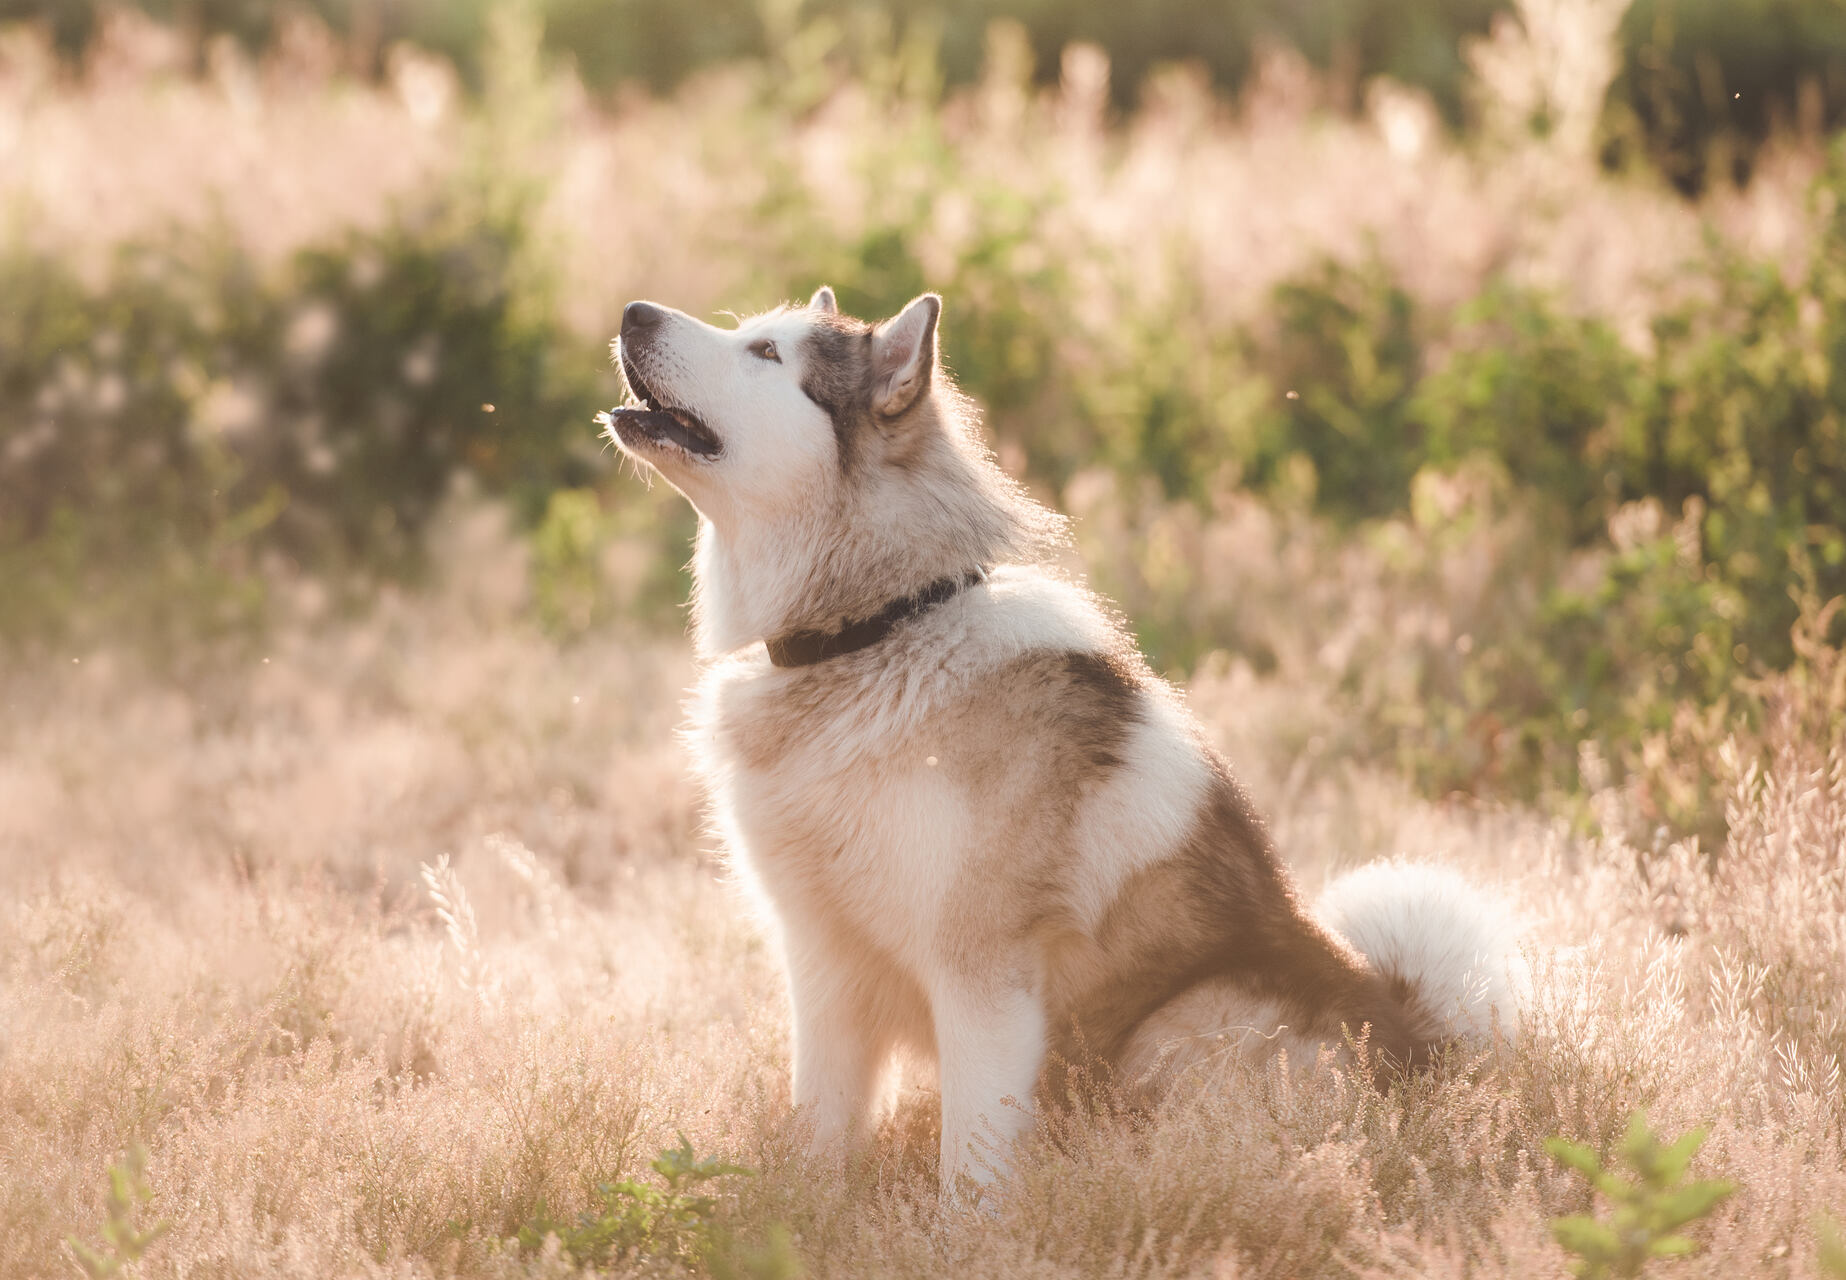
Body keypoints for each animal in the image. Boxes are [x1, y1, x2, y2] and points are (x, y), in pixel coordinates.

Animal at [605, 284, 1513, 1196]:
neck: (877, 633)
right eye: (752, 334)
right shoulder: (824, 966)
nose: (634, 313)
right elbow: (820, 1132)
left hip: (1179, 1027)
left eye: (765, 354)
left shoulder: (982, 981)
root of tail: (1422, 1046)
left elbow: (970, 1169)